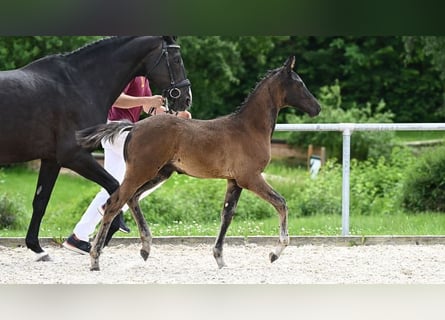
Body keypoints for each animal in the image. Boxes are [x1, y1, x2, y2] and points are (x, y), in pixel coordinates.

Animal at [0, 36, 192, 262]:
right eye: (177, 59)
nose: (186, 98)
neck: (79, 84)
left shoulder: (51, 160)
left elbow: (40, 202)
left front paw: (37, 248)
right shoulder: (75, 156)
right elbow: (114, 186)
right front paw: (108, 232)